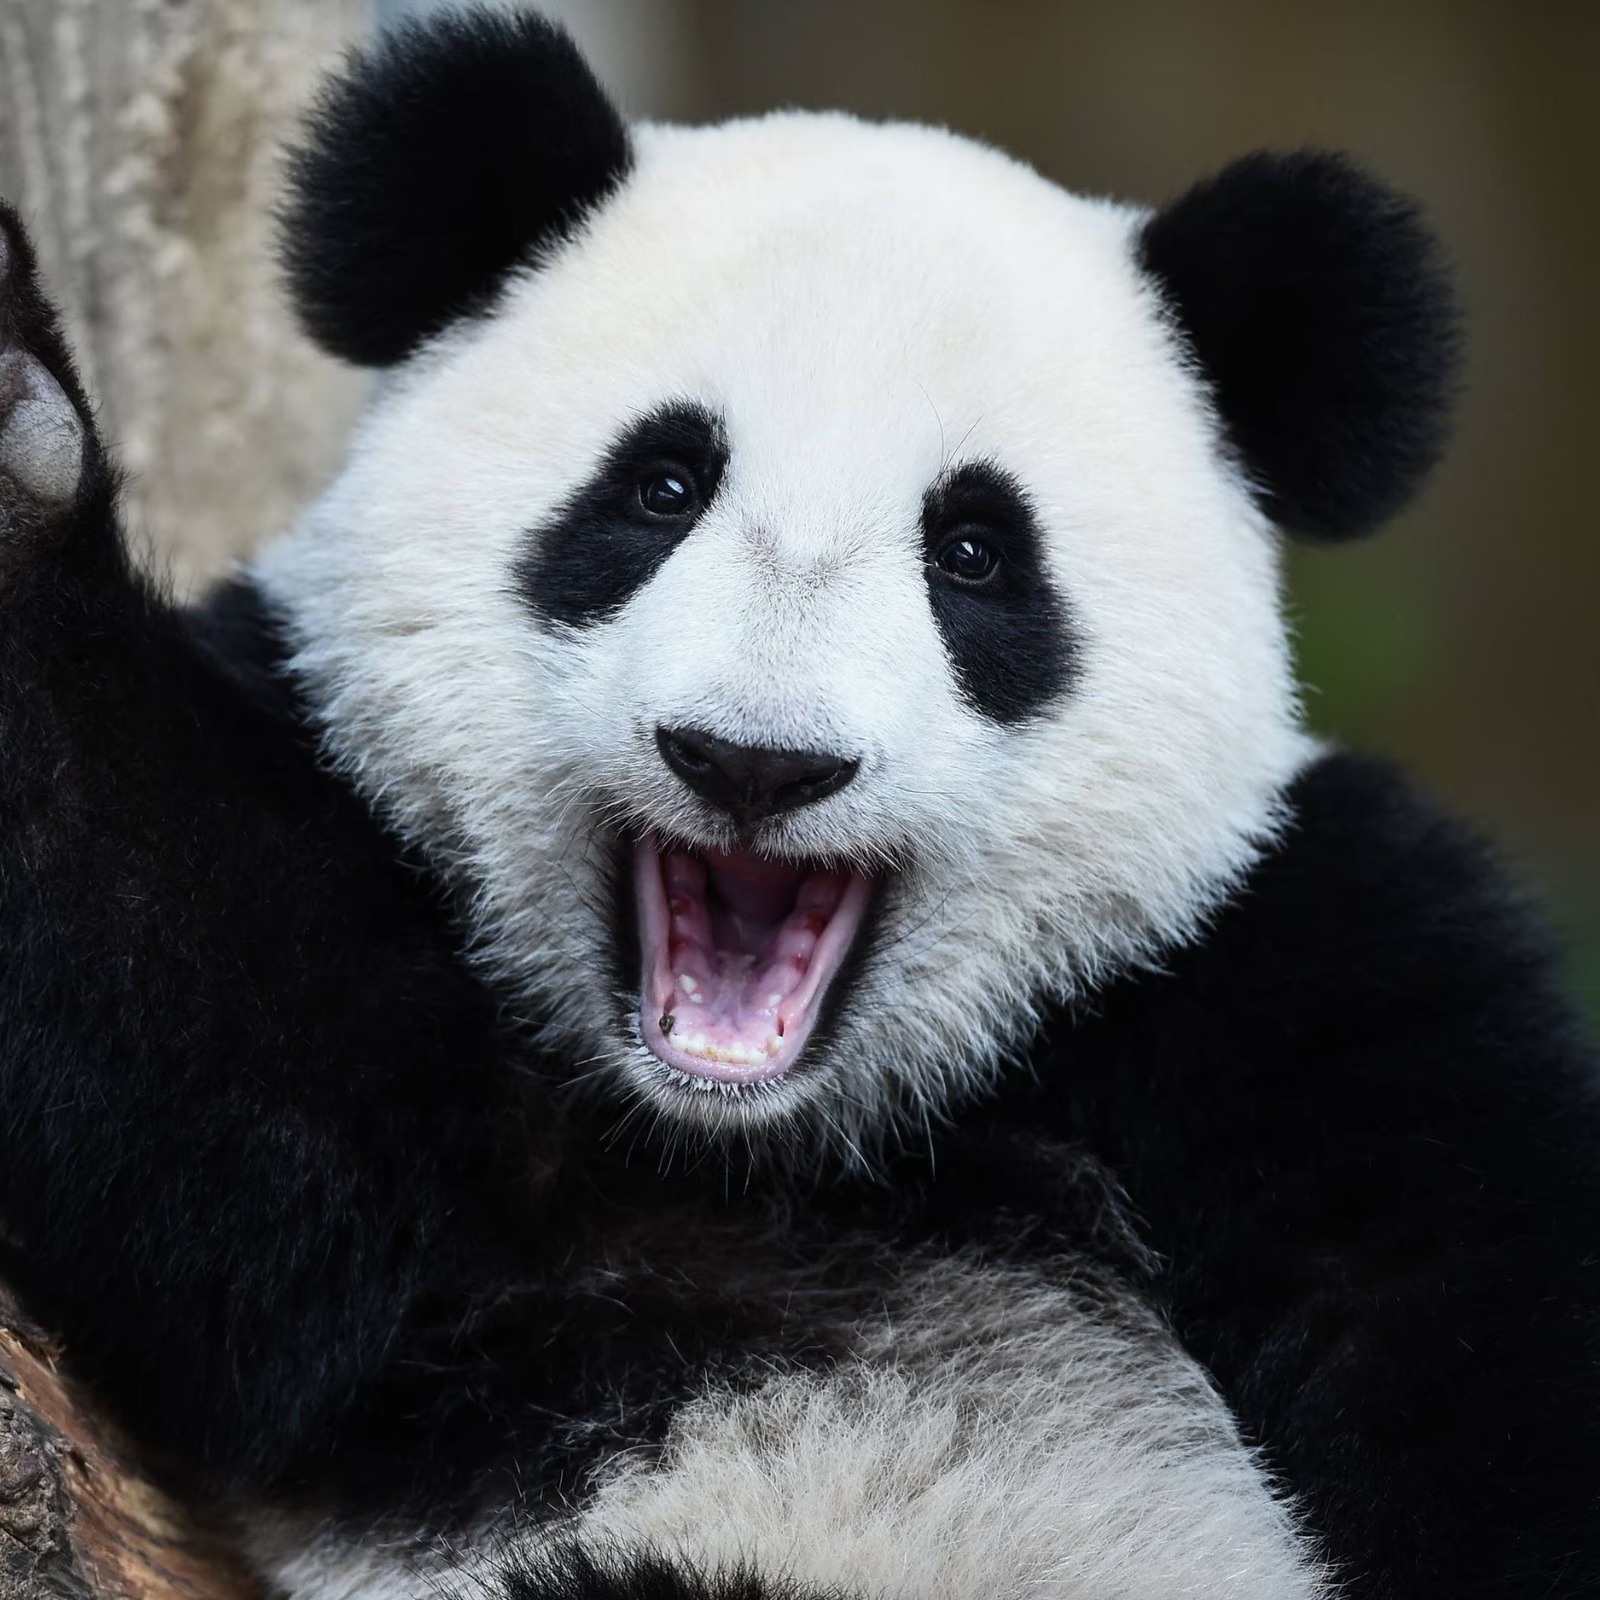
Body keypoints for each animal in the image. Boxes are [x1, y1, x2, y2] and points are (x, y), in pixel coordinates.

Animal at [1, 6, 1597, 1599]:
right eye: (659, 488)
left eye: (974, 551)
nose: (755, 762)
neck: (767, 1148)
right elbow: (198, 1020)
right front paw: (18, 437)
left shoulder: (1302, 966)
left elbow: (1465, 1337)